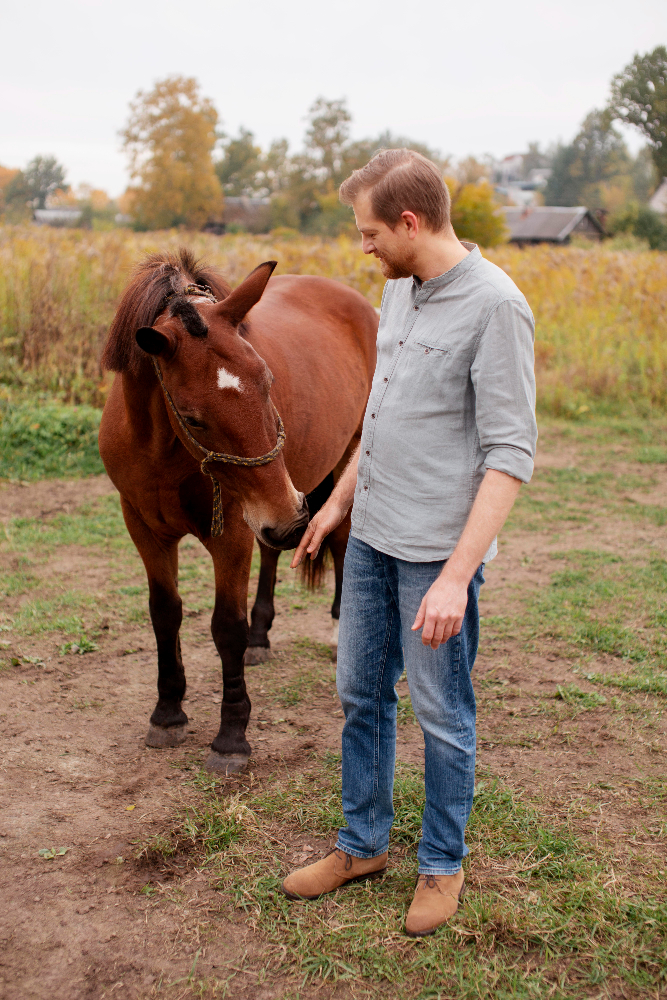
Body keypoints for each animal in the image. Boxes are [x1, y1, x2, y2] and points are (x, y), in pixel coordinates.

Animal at [101, 250, 378, 772]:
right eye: (193, 418)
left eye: (267, 382)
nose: (290, 516)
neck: (161, 449)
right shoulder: (144, 528)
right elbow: (164, 613)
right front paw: (167, 712)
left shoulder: (230, 533)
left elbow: (225, 626)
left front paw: (231, 736)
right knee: (274, 551)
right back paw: (261, 637)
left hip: (337, 466)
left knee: (340, 538)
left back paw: (339, 631)